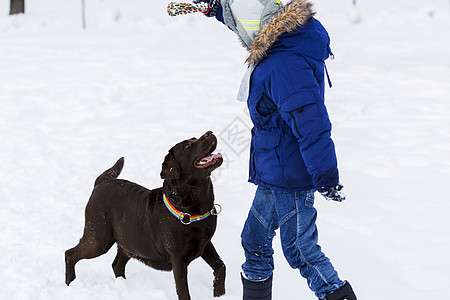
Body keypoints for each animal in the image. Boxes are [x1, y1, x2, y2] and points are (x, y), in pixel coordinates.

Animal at [65, 131, 227, 300]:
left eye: (195, 138)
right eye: (187, 145)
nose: (209, 132)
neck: (194, 206)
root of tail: (103, 180)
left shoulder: (205, 243)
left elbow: (221, 266)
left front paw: (219, 293)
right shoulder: (178, 259)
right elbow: (183, 292)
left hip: (129, 241)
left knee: (117, 265)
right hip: (98, 238)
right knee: (70, 253)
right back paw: (70, 283)